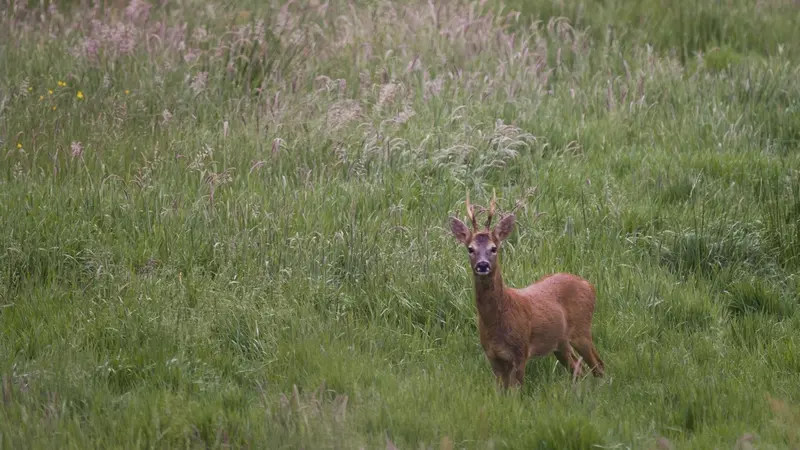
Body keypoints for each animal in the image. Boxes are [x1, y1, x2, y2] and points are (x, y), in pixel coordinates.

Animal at [450, 190, 608, 390]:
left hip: (582, 330)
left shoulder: (520, 351)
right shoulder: (493, 356)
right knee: (578, 369)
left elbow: (517, 390)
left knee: (598, 365)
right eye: (470, 249)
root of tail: (589, 285)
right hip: (560, 343)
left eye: (494, 248)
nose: (483, 265)